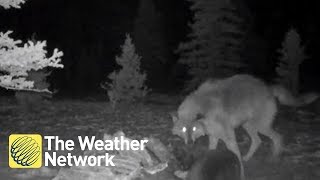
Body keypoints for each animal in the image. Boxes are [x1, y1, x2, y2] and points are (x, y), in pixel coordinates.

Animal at [171, 74, 318, 179]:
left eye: (194, 129)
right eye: (184, 129)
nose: (190, 143)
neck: (205, 109)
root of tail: (268, 88)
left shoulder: (229, 136)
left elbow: (236, 155)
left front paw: (241, 175)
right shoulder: (213, 136)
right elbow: (210, 152)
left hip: (261, 127)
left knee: (278, 137)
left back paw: (273, 158)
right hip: (248, 126)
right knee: (258, 141)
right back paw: (247, 157)